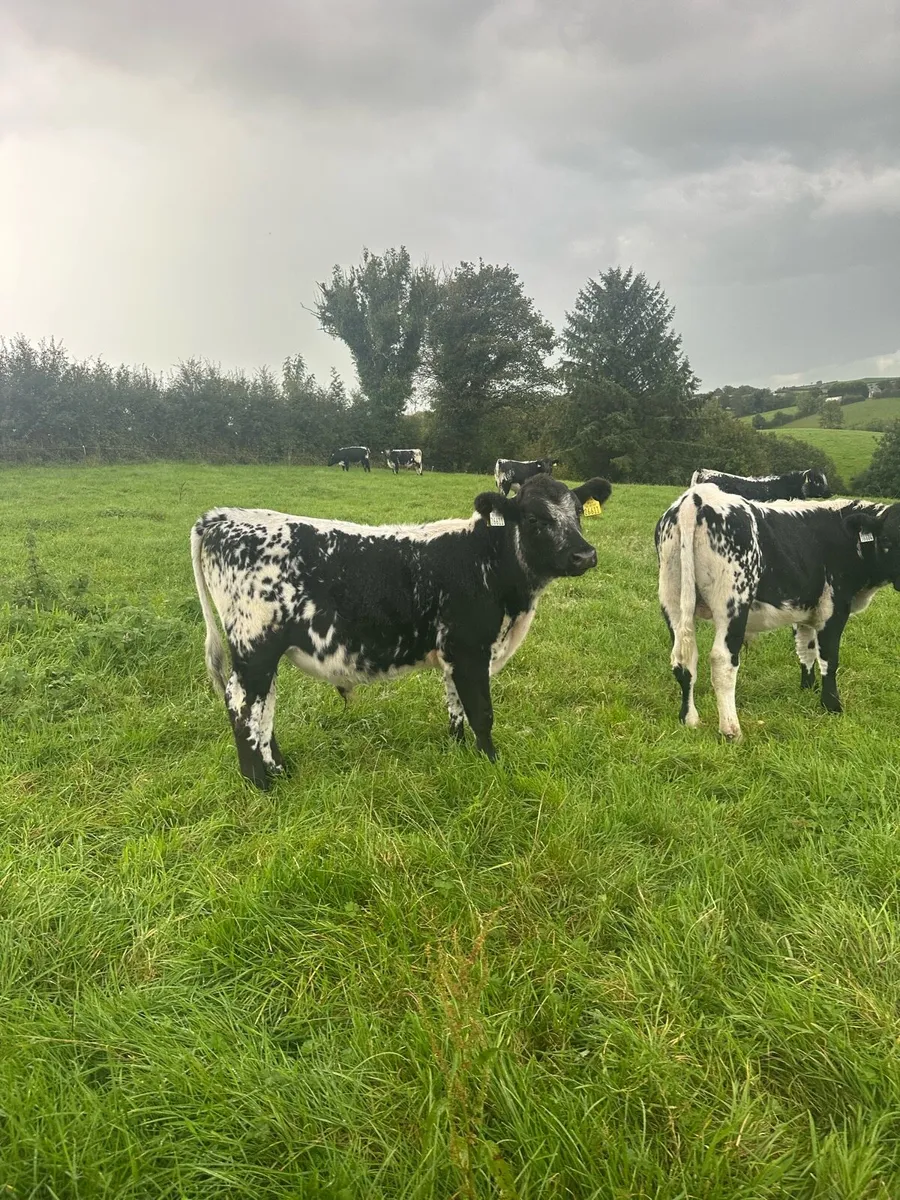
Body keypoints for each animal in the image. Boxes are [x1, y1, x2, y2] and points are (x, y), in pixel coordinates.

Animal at [191, 473, 613, 788]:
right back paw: (260, 784)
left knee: (264, 709)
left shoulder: (454, 654)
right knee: (243, 705)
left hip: (265, 655)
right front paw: (492, 764)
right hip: (254, 647)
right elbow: (481, 712)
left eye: (578, 512)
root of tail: (225, 516)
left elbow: (456, 707)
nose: (584, 555)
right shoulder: (470, 648)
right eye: (534, 519)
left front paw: (460, 755)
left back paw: (279, 769)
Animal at [656, 483, 900, 741]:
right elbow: (829, 658)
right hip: (732, 602)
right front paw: (832, 706)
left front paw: (807, 689)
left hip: (672, 598)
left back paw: (689, 720)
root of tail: (697, 496)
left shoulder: (803, 609)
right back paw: (731, 730)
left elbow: (805, 649)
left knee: (684, 658)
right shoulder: (833, 609)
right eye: (887, 539)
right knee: (722, 660)